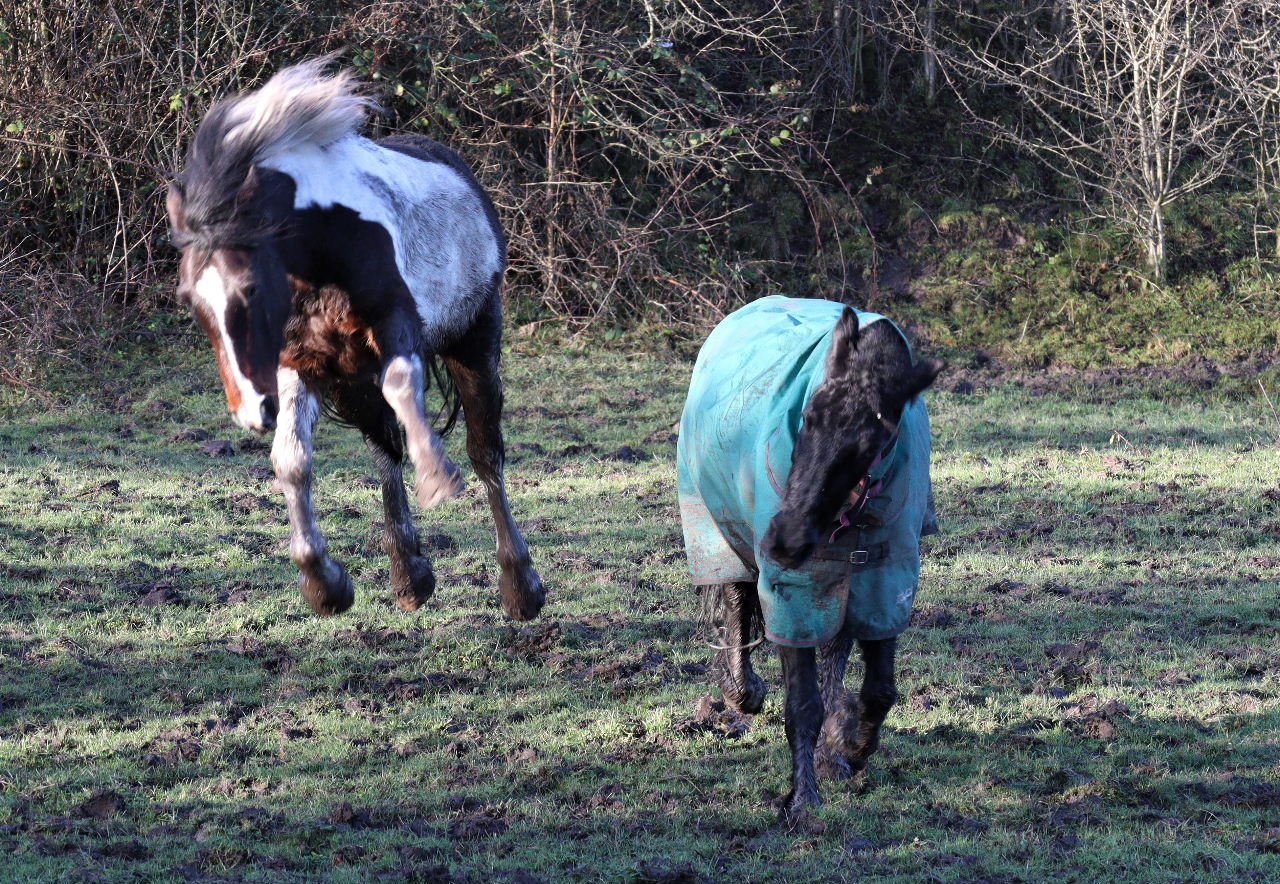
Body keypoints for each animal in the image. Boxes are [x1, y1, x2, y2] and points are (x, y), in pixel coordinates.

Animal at [165, 57, 545, 621]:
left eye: (251, 286)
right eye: (190, 299)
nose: (251, 409)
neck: (325, 242)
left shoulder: (397, 323)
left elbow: (404, 385)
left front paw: (437, 476)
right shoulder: (298, 362)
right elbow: (292, 460)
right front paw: (324, 585)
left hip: (472, 343)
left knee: (485, 452)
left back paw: (520, 588)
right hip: (352, 381)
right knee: (385, 449)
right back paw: (410, 577)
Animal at [677, 295, 943, 826]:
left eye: (871, 445)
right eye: (810, 417)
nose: (784, 540)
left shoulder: (886, 579)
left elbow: (879, 689)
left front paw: (849, 744)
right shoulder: (792, 591)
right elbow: (801, 703)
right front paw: (802, 802)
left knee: (836, 649)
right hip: (719, 531)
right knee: (737, 604)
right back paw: (742, 692)